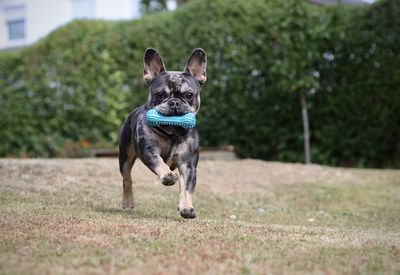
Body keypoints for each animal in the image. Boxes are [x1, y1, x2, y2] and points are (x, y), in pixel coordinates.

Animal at [118, 48, 206, 220]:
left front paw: (186, 207)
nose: (175, 102)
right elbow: (159, 163)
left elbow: (187, 187)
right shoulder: (148, 151)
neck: (172, 132)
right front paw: (169, 176)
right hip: (125, 157)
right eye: (160, 94)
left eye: (189, 95)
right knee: (127, 179)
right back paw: (128, 202)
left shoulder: (188, 164)